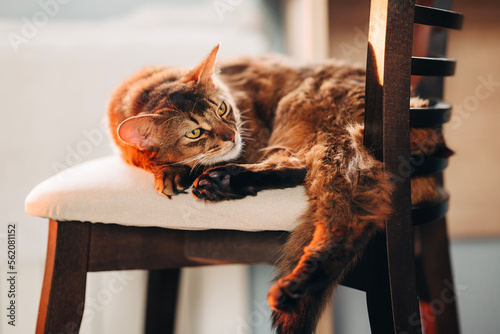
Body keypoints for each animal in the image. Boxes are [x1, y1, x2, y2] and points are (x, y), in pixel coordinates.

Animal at [107, 45, 452, 334]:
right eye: (195, 132)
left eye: (222, 109)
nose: (231, 134)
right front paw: (169, 170)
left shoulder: (255, 135)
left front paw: (176, 172)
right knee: (305, 172)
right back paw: (226, 184)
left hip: (316, 123)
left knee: (339, 211)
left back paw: (293, 284)